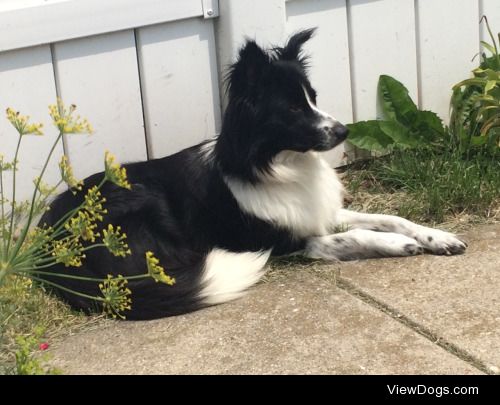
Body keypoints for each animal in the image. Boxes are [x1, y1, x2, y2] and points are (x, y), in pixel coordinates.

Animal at [41, 29, 466, 318]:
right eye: (292, 108)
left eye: (312, 97)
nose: (344, 131)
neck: (278, 165)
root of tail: (49, 244)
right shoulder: (286, 242)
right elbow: (358, 234)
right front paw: (397, 246)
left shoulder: (321, 213)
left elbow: (390, 217)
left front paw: (436, 237)